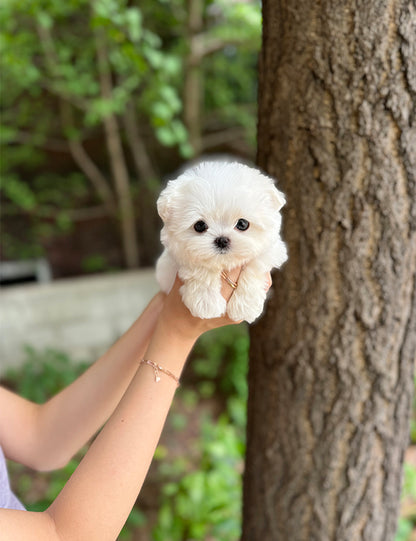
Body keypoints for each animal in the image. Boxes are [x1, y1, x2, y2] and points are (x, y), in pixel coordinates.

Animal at [154, 159, 288, 320]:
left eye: (242, 224)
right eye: (200, 225)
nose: (222, 240)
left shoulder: (270, 250)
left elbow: (254, 265)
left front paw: (244, 306)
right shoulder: (178, 255)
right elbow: (200, 267)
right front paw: (206, 303)